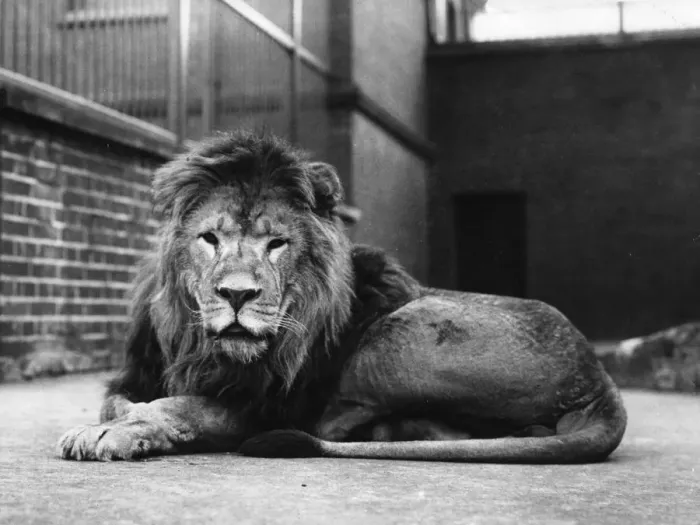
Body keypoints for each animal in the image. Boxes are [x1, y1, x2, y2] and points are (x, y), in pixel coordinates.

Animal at [57, 131, 627, 463]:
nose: (237, 294)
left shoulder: (270, 405)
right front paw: (117, 423)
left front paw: (111, 435)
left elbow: (179, 407)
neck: (199, 346)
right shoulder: (138, 372)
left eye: (277, 244)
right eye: (210, 239)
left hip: (393, 334)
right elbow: (123, 402)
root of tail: (600, 377)